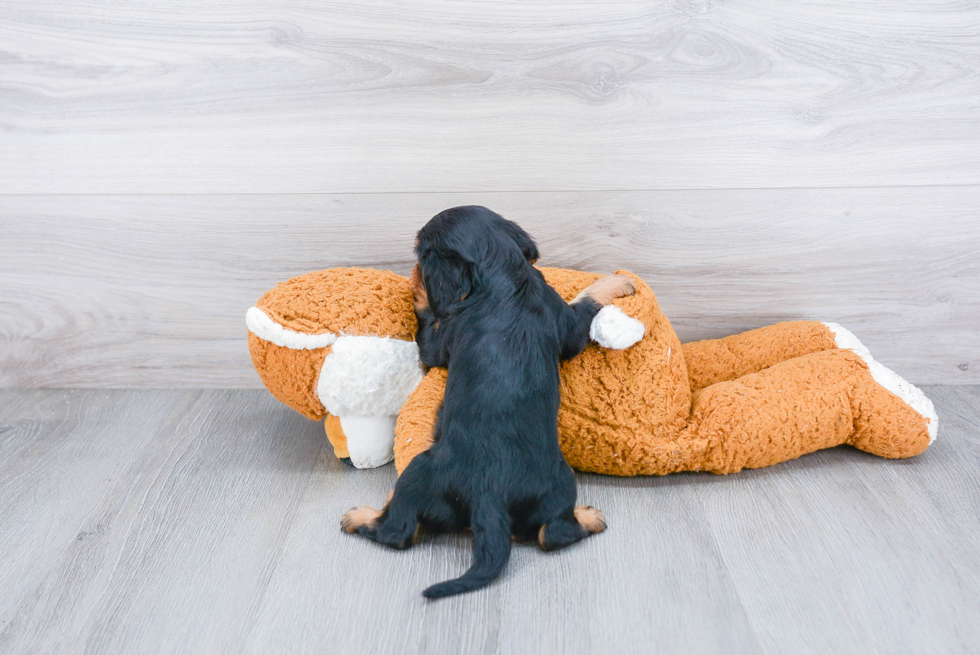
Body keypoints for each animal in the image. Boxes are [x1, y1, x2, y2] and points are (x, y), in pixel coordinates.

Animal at [342, 206, 636, 600]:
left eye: (420, 250)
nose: (412, 267)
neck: (503, 279)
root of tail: (489, 497)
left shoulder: (439, 344)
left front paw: (416, 286)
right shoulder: (564, 321)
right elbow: (585, 303)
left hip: (418, 471)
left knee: (398, 531)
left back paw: (359, 516)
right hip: (559, 481)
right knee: (551, 533)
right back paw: (588, 517)